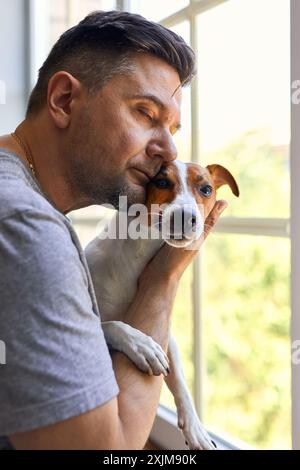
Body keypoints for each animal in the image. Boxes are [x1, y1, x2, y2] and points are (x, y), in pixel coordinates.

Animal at [85, 161, 239, 448]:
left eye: (206, 188)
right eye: (162, 182)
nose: (184, 216)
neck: (138, 253)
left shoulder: (168, 335)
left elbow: (179, 380)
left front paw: (195, 428)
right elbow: (111, 324)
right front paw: (140, 344)